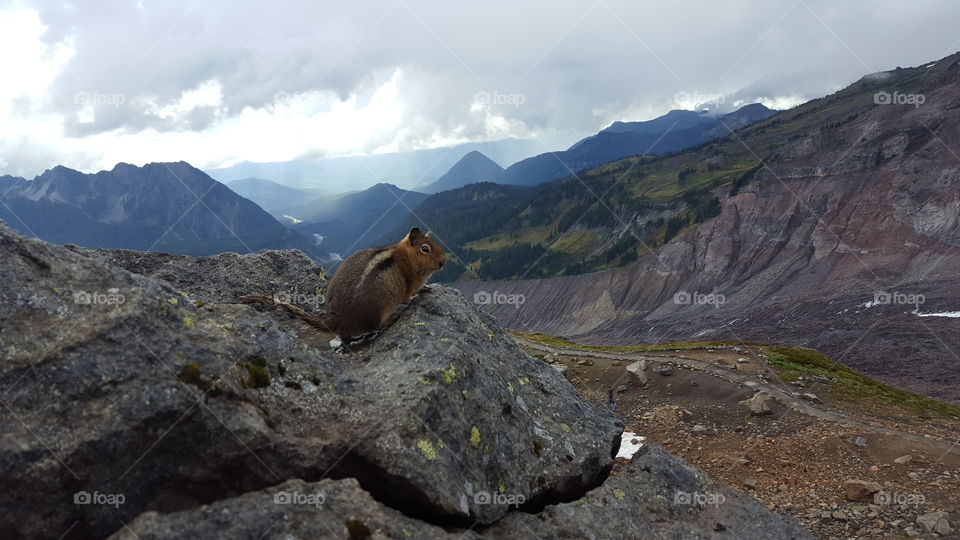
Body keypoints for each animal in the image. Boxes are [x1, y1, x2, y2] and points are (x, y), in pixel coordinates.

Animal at [242, 227, 445, 343]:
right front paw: (418, 296)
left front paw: (427, 287)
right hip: (378, 310)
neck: (406, 258)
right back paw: (390, 320)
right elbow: (409, 296)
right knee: (376, 328)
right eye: (425, 249)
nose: (443, 262)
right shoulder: (408, 286)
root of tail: (334, 321)